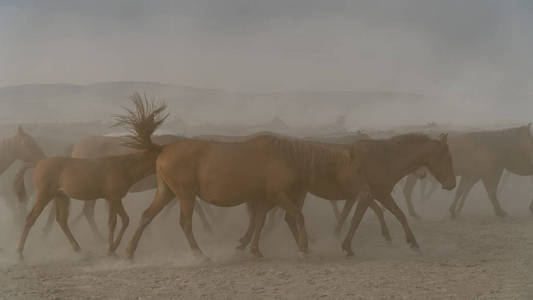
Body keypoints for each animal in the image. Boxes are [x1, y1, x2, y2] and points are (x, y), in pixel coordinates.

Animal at [17, 92, 166, 258]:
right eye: (160, 151)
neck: (124, 167)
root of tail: (37, 164)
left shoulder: (113, 198)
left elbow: (120, 221)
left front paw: (112, 248)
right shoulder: (114, 197)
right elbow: (117, 222)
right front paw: (111, 249)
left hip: (61, 195)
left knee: (61, 220)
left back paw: (77, 248)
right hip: (44, 194)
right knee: (31, 218)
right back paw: (20, 253)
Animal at [124, 134, 370, 260]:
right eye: (356, 170)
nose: (366, 192)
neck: (288, 157)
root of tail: (164, 148)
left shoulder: (264, 199)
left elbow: (259, 222)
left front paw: (254, 248)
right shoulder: (278, 195)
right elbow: (297, 217)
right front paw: (303, 247)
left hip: (166, 193)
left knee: (146, 216)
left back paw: (129, 251)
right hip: (185, 196)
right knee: (185, 223)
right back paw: (199, 254)